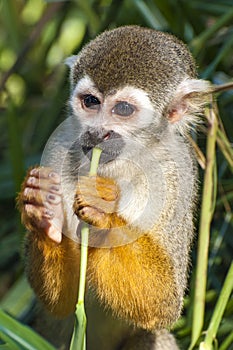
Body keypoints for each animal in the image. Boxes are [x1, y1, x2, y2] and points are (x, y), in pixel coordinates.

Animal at [17, 26, 212, 348]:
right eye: (90, 102)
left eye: (122, 109)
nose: (97, 133)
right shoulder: (59, 148)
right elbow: (61, 303)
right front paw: (46, 215)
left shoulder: (178, 173)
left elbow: (164, 304)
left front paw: (104, 210)